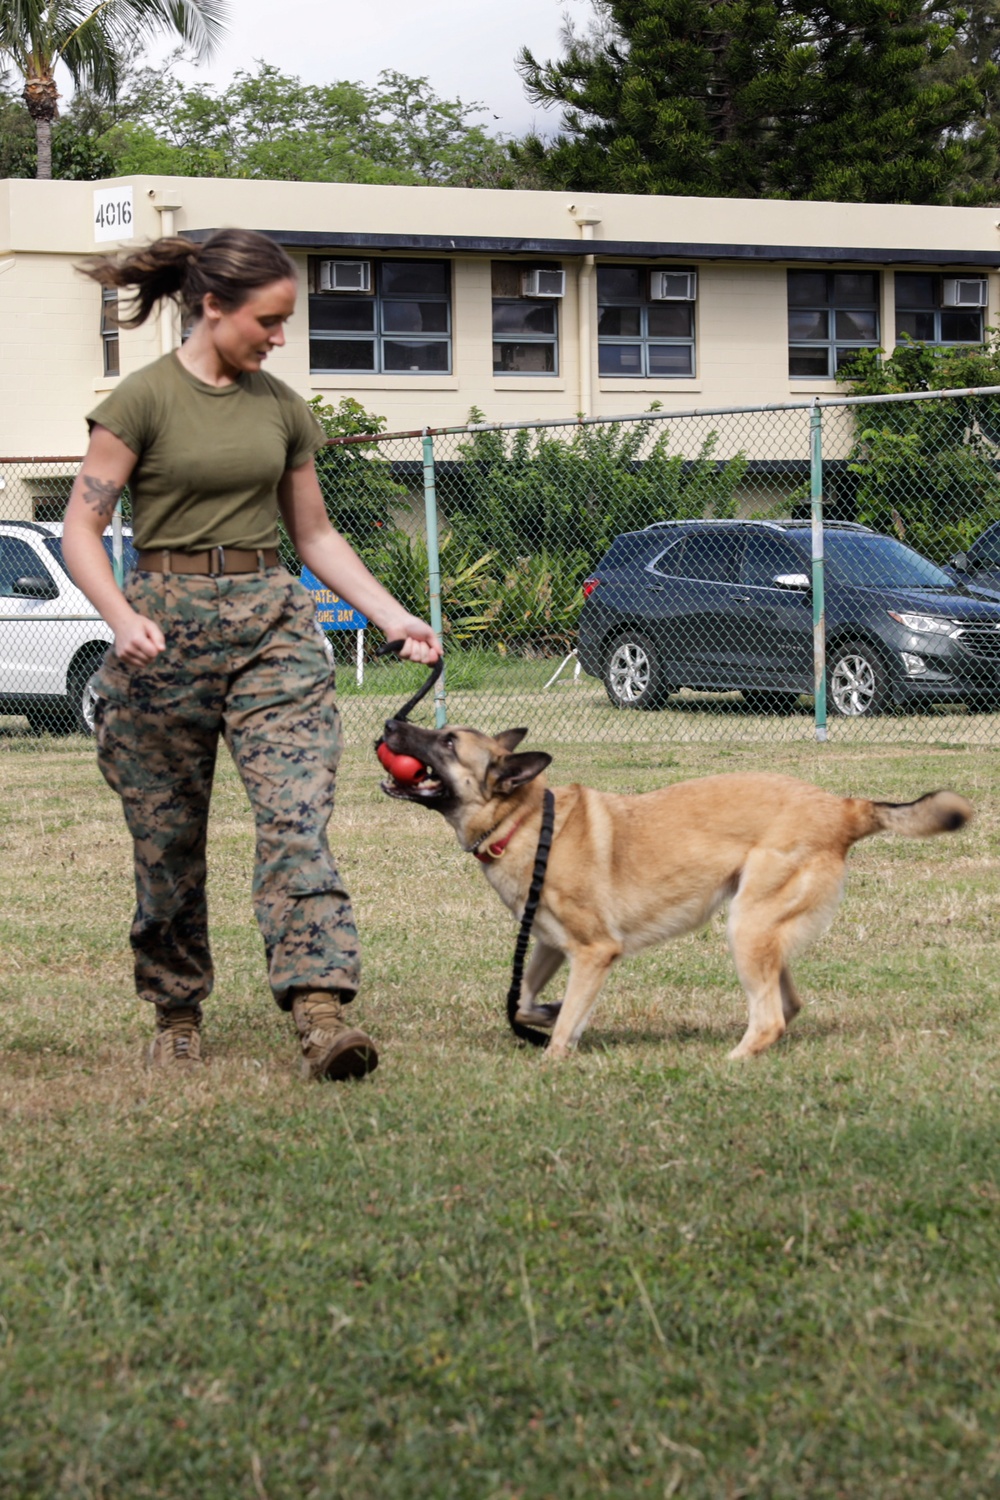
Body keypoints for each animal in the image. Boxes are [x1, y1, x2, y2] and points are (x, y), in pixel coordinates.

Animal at [379, 714, 971, 1056]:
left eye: (447, 742)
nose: (388, 727)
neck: (523, 821)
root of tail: (844, 807)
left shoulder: (595, 951)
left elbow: (563, 1031)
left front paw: (553, 1055)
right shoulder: (551, 942)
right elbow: (525, 1001)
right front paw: (547, 1013)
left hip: (746, 927)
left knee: (770, 1019)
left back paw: (732, 1062)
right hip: (760, 928)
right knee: (789, 1006)